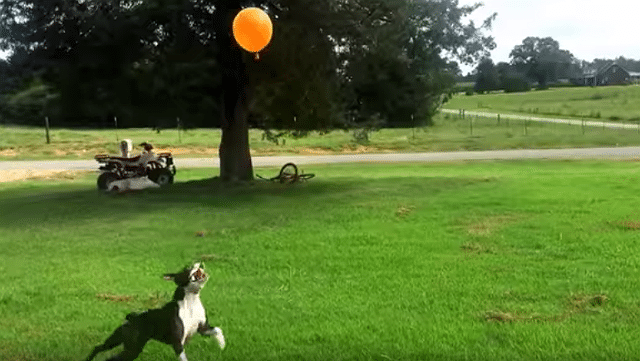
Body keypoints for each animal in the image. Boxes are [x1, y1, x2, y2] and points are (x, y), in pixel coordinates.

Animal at [84, 262, 225, 360]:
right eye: (187, 268)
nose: (199, 264)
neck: (191, 300)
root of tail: (132, 317)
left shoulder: (203, 329)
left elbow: (218, 330)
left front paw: (222, 345)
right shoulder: (178, 343)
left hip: (123, 343)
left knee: (103, 350)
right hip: (129, 347)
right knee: (107, 355)